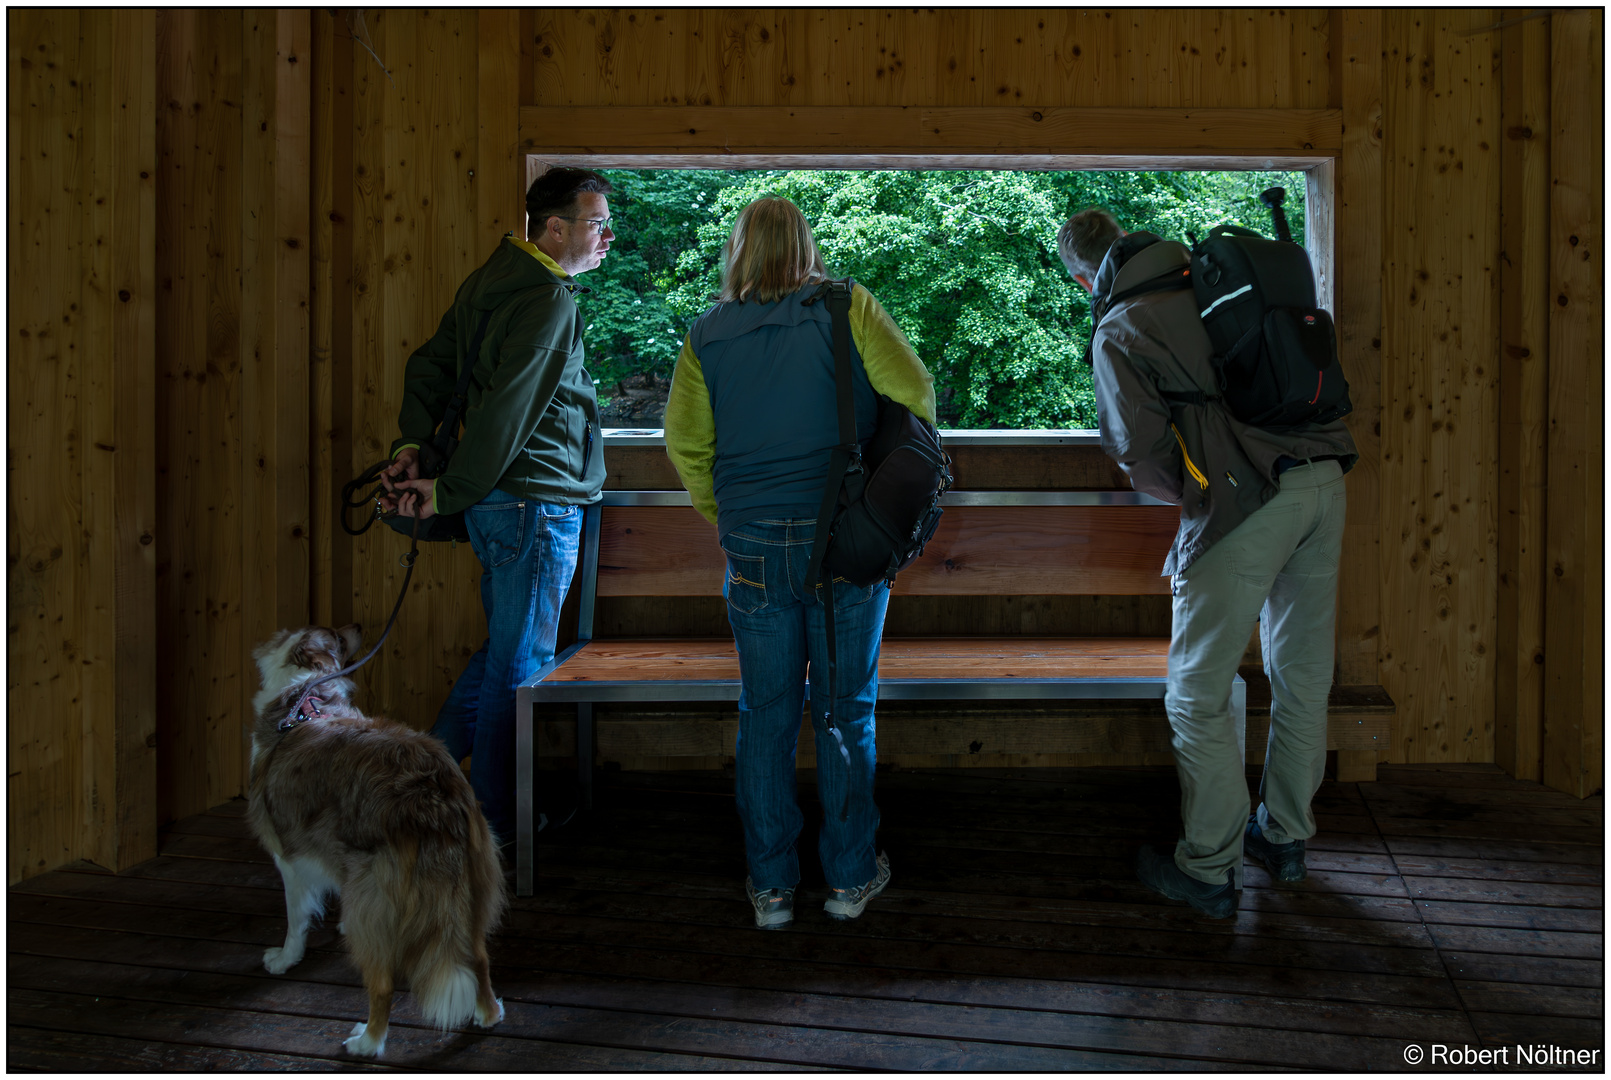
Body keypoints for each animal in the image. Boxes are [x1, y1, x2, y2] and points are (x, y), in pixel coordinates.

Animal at [249, 625, 509, 1057]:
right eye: (338, 635)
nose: (356, 626)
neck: (304, 701)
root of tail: (433, 795)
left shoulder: (290, 861)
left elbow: (296, 921)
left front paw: (285, 959)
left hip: (377, 901)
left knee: (383, 985)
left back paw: (367, 1041)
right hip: (475, 882)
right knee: (480, 958)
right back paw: (488, 1014)